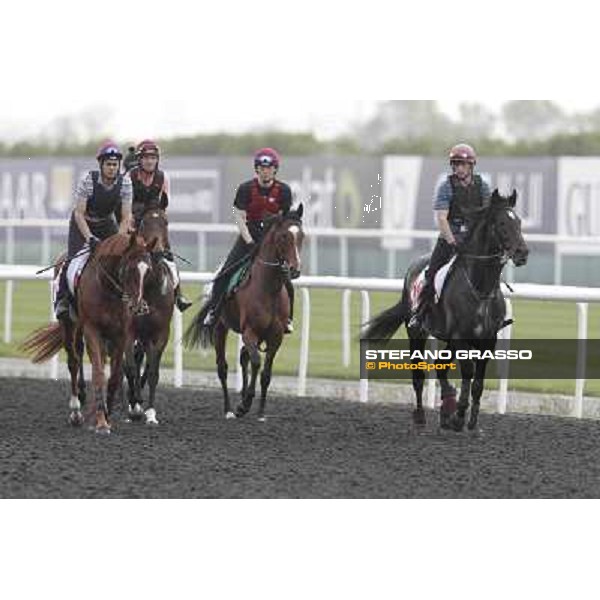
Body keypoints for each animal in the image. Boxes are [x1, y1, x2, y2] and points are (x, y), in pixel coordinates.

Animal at [22, 232, 155, 434]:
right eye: (130, 268)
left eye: (148, 270)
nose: (138, 306)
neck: (107, 287)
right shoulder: (92, 330)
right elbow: (98, 373)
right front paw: (101, 421)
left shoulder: (121, 334)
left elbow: (114, 375)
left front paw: (108, 416)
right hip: (70, 323)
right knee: (74, 361)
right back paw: (76, 411)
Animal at [184, 204, 304, 420]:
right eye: (283, 236)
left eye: (302, 236)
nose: (294, 269)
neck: (268, 288)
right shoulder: (250, 331)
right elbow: (256, 362)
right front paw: (245, 403)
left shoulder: (275, 336)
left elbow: (266, 373)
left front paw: (261, 411)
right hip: (220, 328)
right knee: (222, 367)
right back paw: (229, 409)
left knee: (242, 357)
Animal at [364, 191, 528, 432]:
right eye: (501, 223)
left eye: (519, 222)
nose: (522, 253)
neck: (480, 289)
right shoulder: (460, 337)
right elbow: (468, 371)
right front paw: (459, 415)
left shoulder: (487, 340)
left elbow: (478, 382)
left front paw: (471, 422)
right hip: (417, 332)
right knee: (418, 374)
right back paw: (422, 415)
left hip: (448, 339)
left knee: (440, 366)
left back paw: (446, 409)